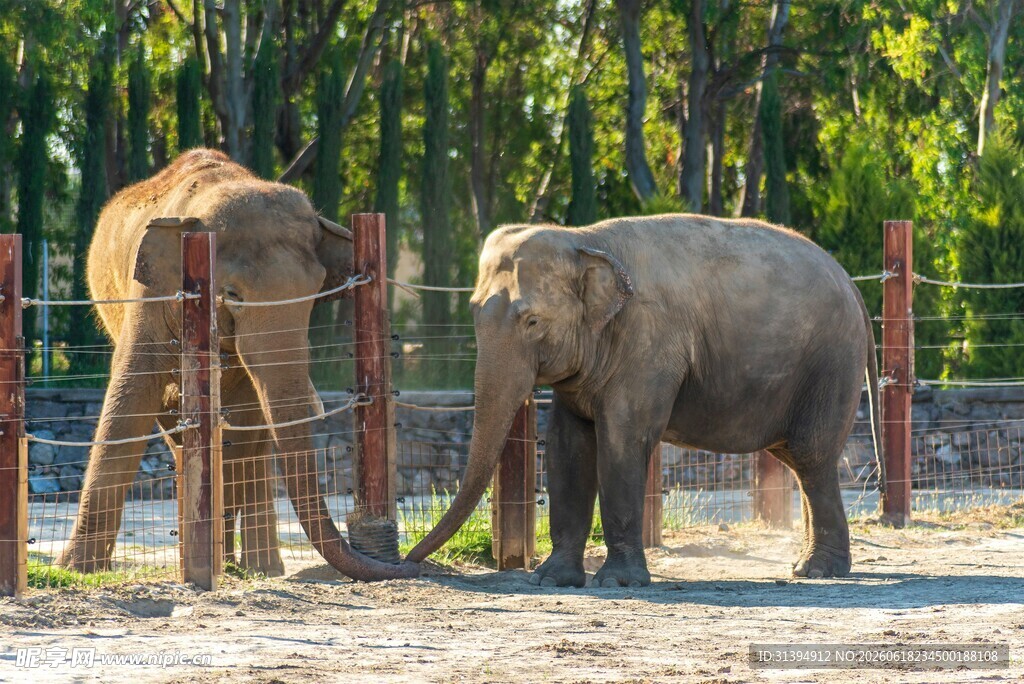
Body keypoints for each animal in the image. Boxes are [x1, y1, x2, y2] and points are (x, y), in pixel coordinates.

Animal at [57, 149, 416, 581]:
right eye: (231, 294)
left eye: (316, 293)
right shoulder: (151, 294)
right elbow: (129, 399)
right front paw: (77, 571)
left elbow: (247, 422)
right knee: (181, 431)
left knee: (247, 438)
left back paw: (253, 567)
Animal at [402, 214, 879, 587]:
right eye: (474, 311)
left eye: (533, 321)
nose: (406, 562)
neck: (584, 241)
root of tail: (852, 284)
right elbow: (567, 447)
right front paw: (552, 579)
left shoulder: (647, 343)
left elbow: (621, 441)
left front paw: (617, 582)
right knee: (798, 461)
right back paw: (804, 567)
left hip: (831, 363)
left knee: (812, 457)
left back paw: (818, 571)